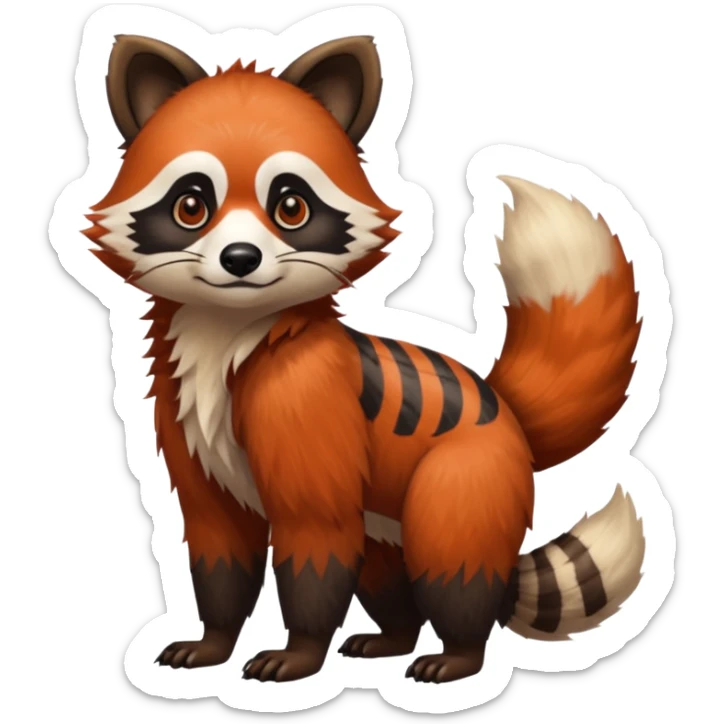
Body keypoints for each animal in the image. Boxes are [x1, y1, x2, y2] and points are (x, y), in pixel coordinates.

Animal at [81, 34, 645, 684]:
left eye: (291, 207)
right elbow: (220, 548)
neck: (227, 333)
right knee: (384, 574)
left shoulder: (309, 410)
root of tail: (505, 409)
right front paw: (215, 640)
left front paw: (300, 652)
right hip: (385, 515)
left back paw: (459, 655)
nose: (241, 258)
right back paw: (393, 638)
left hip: (465, 478)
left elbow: (315, 538)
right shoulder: (192, 441)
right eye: (191, 205)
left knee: (452, 562)